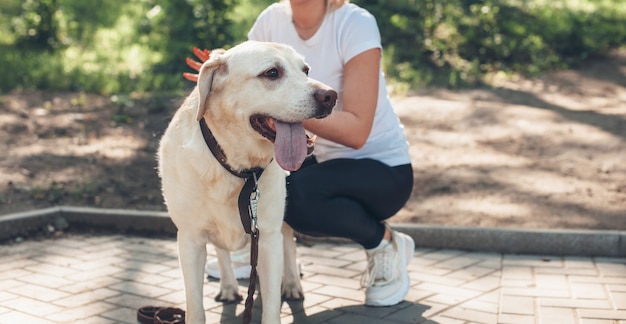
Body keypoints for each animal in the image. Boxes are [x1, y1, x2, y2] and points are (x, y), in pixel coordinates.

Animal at [158, 41, 336, 324]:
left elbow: (272, 305)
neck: (238, 168)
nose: (331, 96)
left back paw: (291, 283)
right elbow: (195, 307)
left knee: (289, 243)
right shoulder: (190, 239)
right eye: (272, 73)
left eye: (306, 70)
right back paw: (229, 286)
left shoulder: (267, 237)